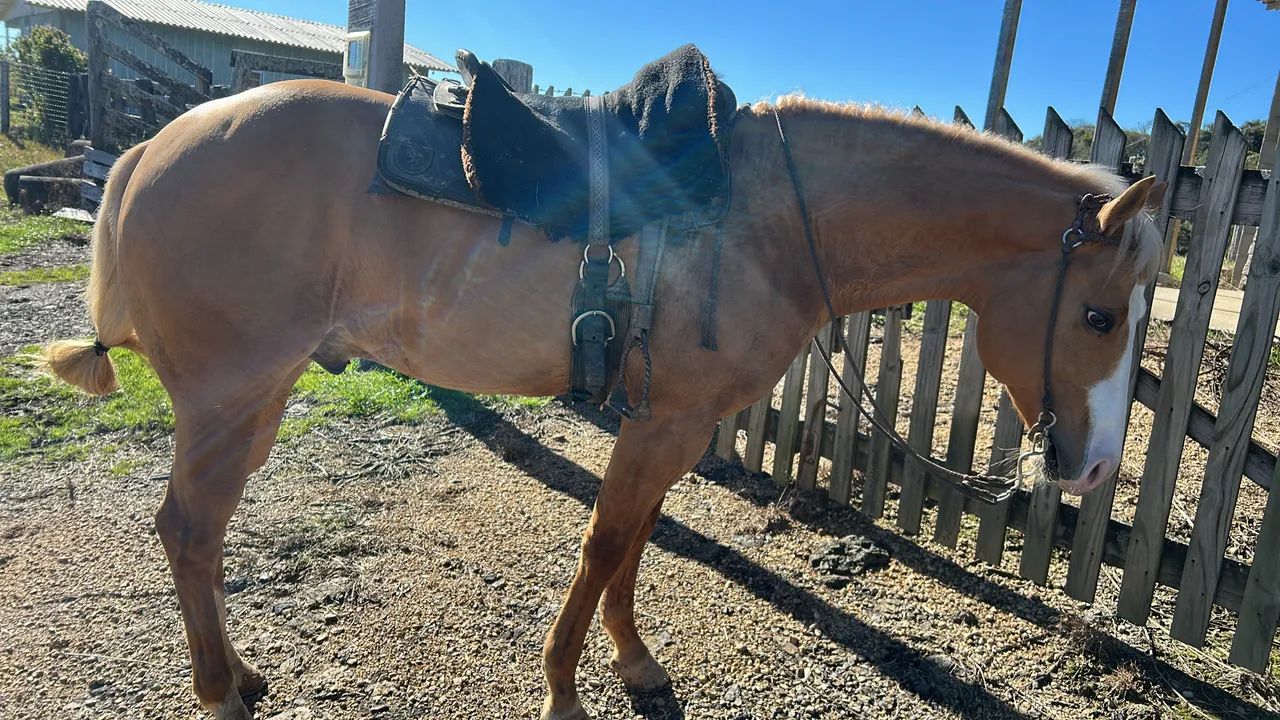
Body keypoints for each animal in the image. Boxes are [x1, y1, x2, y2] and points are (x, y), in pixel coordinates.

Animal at [41, 82, 1164, 720]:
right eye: (1100, 315)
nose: (1098, 465)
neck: (766, 219)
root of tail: (150, 148)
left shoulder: (674, 424)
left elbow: (636, 542)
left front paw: (634, 663)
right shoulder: (660, 423)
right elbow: (603, 544)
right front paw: (564, 688)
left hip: (257, 397)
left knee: (197, 535)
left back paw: (238, 676)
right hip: (228, 395)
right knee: (190, 531)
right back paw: (219, 695)